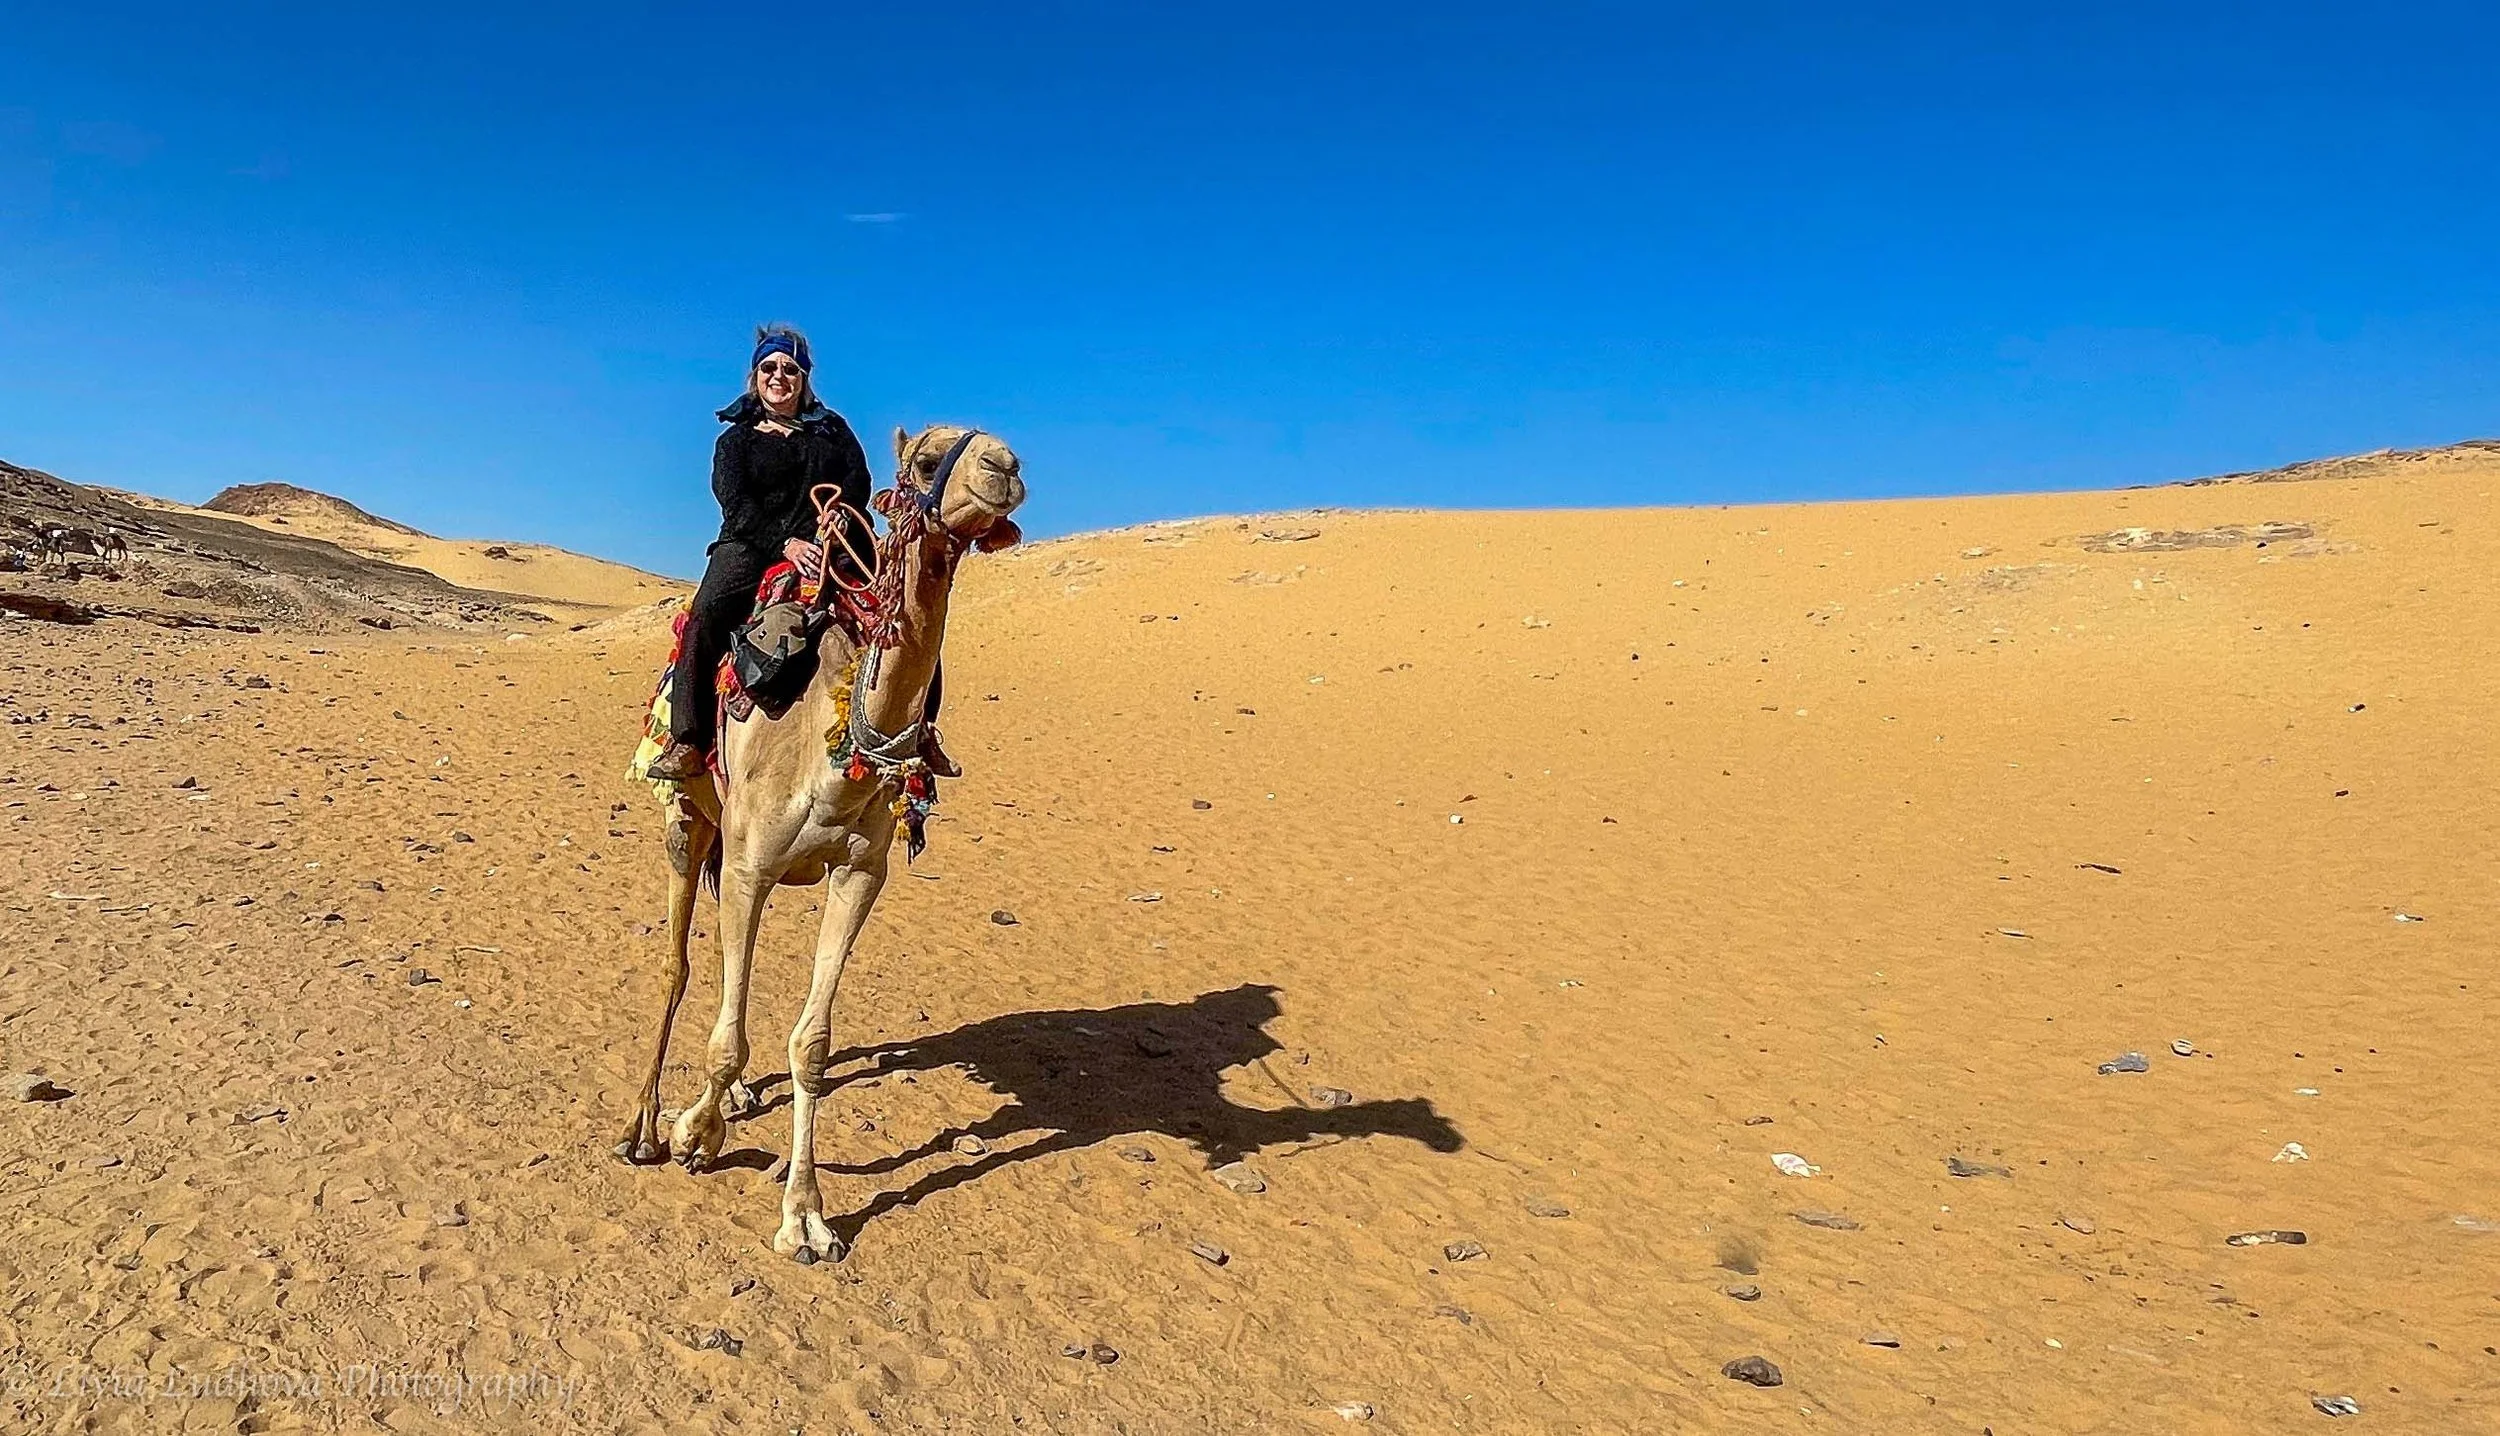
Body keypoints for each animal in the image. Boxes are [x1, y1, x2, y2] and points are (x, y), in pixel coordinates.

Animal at [615, 423, 1027, 1266]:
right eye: (926, 460)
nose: (1005, 465)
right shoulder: (749, 863)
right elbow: (725, 1036)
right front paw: (693, 1134)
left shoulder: (861, 872)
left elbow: (811, 1044)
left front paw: (805, 1216)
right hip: (689, 821)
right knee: (677, 966)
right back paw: (644, 1126)